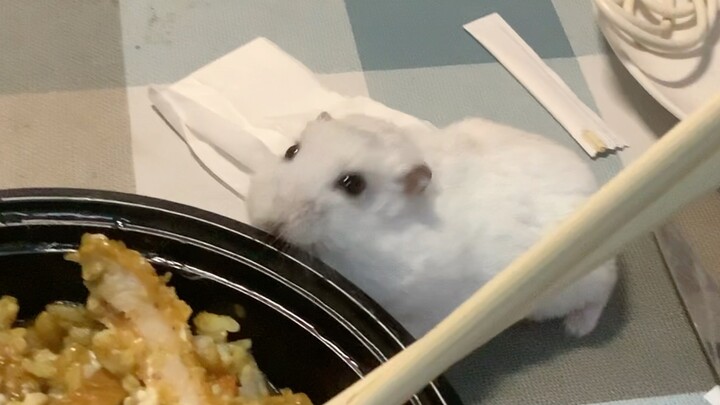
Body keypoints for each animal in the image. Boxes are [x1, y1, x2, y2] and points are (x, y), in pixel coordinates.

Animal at [247, 112, 618, 338]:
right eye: (291, 150)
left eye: (353, 184)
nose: (269, 219)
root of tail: (595, 187)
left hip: (579, 285)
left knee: (603, 292)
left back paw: (577, 328)